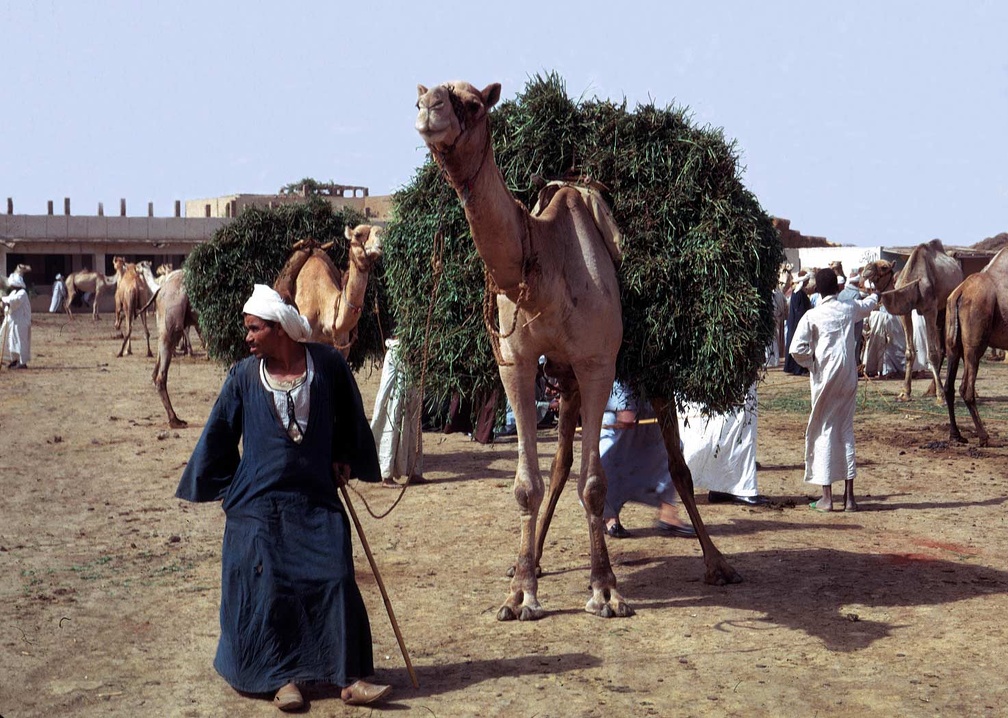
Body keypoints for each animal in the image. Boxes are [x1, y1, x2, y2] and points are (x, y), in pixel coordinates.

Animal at [415, 80, 741, 621]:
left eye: (474, 102)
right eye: (425, 97)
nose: (428, 109)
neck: (543, 258)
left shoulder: (597, 364)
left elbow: (595, 483)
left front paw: (605, 590)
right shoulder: (517, 362)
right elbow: (528, 483)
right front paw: (520, 593)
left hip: (644, 372)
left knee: (677, 466)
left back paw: (718, 563)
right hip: (562, 377)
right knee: (560, 463)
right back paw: (531, 560)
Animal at [862, 240, 963, 397]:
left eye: (884, 267)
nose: (866, 270)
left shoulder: (930, 310)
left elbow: (932, 353)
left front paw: (941, 396)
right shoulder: (906, 312)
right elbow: (909, 352)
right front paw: (905, 392)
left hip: (949, 306)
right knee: (942, 347)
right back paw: (931, 390)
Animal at [943, 250, 1008, 445]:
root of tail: (960, 292)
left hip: (953, 344)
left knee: (949, 386)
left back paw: (956, 434)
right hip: (975, 344)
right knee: (966, 388)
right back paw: (984, 437)